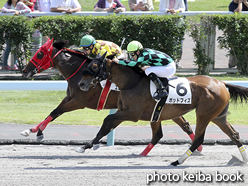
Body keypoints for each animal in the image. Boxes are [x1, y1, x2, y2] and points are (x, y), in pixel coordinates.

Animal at [21, 38, 202, 155]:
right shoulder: (70, 98)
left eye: (39, 54)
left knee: (183, 125)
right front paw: (32, 130)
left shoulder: (79, 101)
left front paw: (37, 132)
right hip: (167, 110)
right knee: (184, 125)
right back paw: (197, 148)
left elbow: (57, 111)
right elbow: (53, 112)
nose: (25, 70)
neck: (78, 72)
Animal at [78, 52, 248, 166]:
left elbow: (107, 119)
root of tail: (222, 83)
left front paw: (87, 146)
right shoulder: (126, 112)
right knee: (234, 135)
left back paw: (177, 161)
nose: (81, 84)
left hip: (204, 114)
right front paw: (85, 146)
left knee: (199, 139)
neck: (132, 82)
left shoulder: (132, 114)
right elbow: (107, 127)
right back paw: (244, 159)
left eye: (94, 66)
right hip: (218, 116)